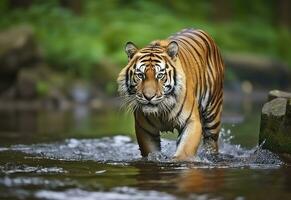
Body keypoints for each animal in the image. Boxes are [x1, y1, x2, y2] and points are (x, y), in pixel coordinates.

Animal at [117, 28, 225, 160]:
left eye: (160, 75)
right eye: (140, 75)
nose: (148, 97)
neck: (161, 111)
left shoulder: (192, 122)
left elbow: (185, 151)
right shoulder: (144, 129)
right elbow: (151, 152)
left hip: (213, 114)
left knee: (211, 142)